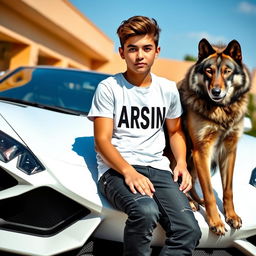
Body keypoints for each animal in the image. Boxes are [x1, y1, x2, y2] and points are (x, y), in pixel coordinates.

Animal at [177, 38, 251, 236]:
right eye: (209, 70)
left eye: (227, 71)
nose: (216, 92)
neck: (221, 110)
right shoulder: (202, 151)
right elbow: (209, 192)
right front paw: (216, 222)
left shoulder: (229, 150)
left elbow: (228, 190)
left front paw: (231, 216)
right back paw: (190, 202)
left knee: (191, 182)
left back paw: (196, 201)